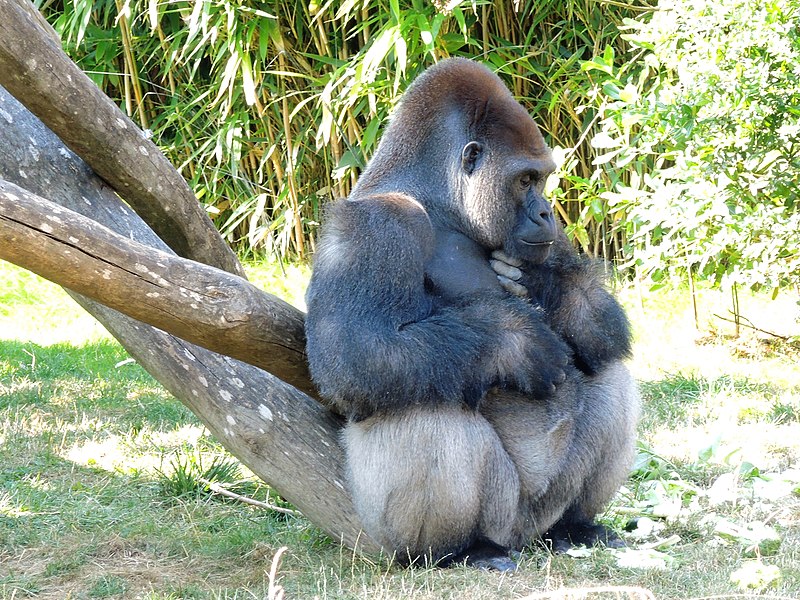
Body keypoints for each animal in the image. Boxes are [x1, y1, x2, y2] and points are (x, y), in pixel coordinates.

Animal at [304, 58, 640, 568]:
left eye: (542, 180)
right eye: (525, 180)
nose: (545, 211)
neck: (441, 202)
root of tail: (523, 536)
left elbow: (600, 319)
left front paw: (540, 283)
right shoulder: (376, 224)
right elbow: (356, 353)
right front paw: (517, 344)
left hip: (538, 515)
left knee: (607, 368)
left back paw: (574, 526)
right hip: (466, 523)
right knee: (424, 407)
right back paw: (458, 550)